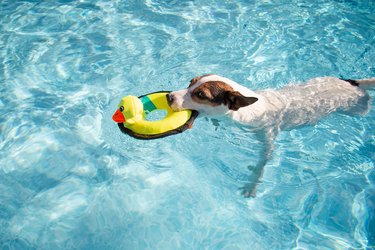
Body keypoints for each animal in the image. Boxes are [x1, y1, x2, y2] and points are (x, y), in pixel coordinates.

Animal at [168, 74, 375, 197]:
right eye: (190, 82)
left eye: (201, 95)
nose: (169, 96)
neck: (250, 110)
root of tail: (353, 83)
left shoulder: (268, 137)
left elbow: (262, 163)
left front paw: (252, 184)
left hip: (358, 109)